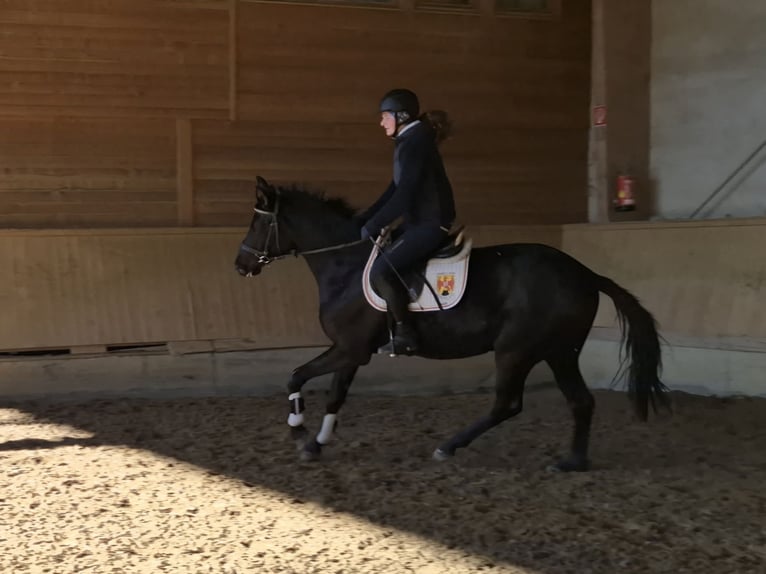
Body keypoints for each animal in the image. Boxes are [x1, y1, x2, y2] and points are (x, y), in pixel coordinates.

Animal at [234, 177, 672, 472]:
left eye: (257, 224)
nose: (240, 265)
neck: (345, 264)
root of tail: (586, 274)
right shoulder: (353, 352)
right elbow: (335, 396)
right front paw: (316, 443)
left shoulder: (348, 348)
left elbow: (295, 375)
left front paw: (297, 430)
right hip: (560, 351)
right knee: (580, 401)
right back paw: (572, 462)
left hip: (517, 349)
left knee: (507, 404)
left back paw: (449, 447)